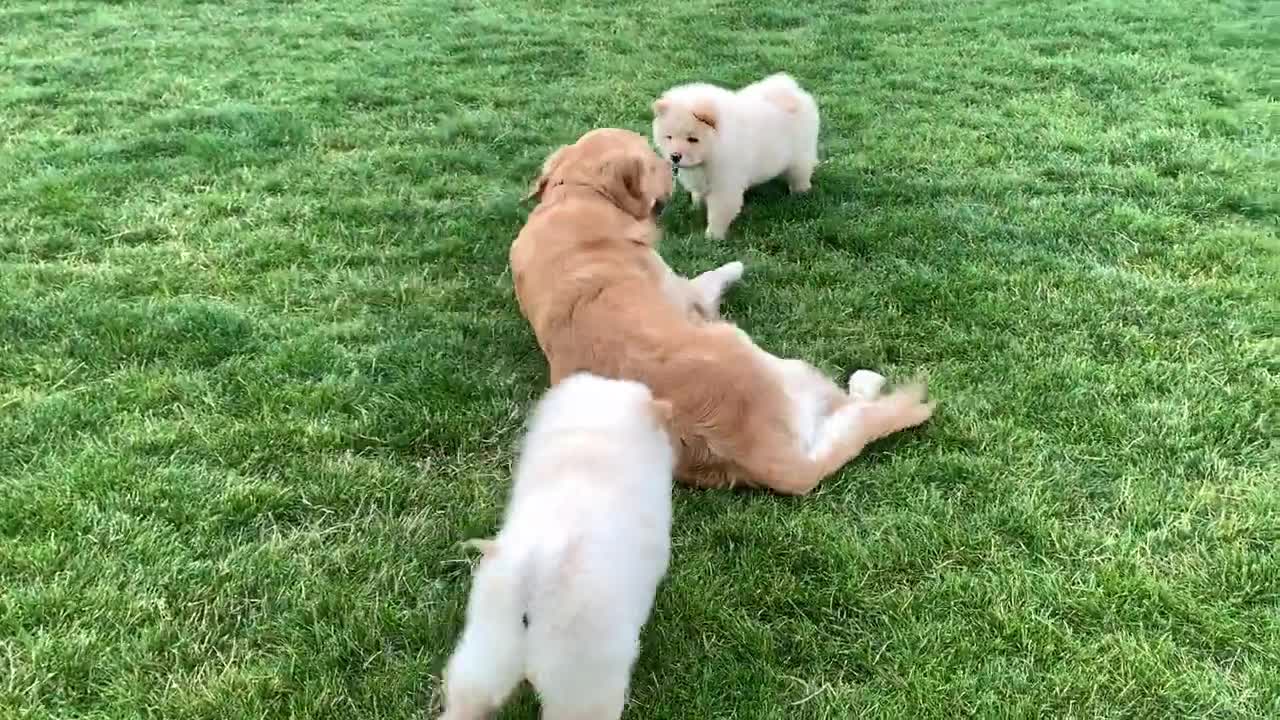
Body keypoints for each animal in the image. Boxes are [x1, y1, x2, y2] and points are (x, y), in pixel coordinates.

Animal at [650, 74, 819, 239]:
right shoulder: (700, 177)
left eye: (692, 139)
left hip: (800, 155)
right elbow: (698, 194)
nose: (674, 156)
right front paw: (695, 207)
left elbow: (718, 213)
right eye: (669, 137)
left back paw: (800, 193)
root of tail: (792, 91)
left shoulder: (725, 185)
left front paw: (712, 236)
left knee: (801, 173)